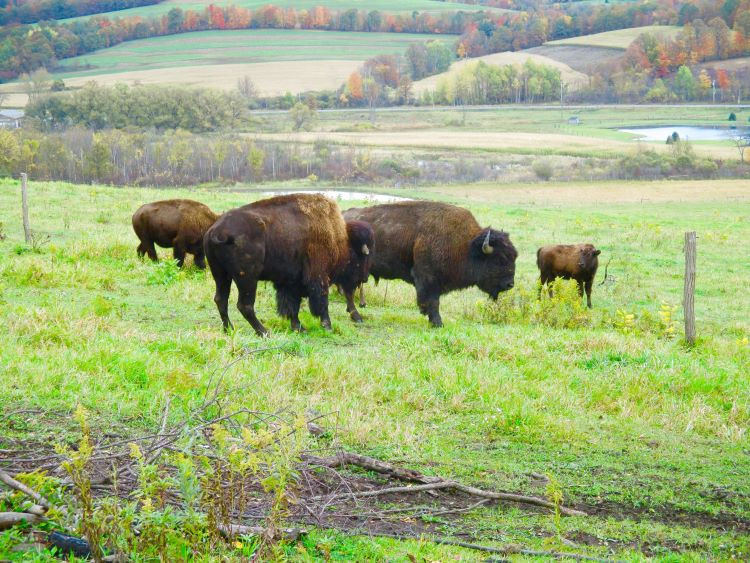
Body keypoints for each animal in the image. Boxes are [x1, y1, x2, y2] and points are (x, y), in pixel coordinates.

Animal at [204, 193, 366, 336]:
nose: (363, 278)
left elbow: (291, 305)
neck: (340, 239)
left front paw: (298, 328)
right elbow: (321, 301)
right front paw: (327, 326)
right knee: (245, 305)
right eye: (359, 259)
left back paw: (229, 329)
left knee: (221, 300)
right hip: (247, 277)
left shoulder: (289, 282)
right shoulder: (319, 276)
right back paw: (264, 332)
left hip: (221, 274)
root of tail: (216, 231)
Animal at [344, 201, 518, 327]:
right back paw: (357, 317)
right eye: (500, 259)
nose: (510, 284)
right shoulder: (429, 279)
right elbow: (433, 301)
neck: (466, 246)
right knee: (348, 292)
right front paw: (438, 323)